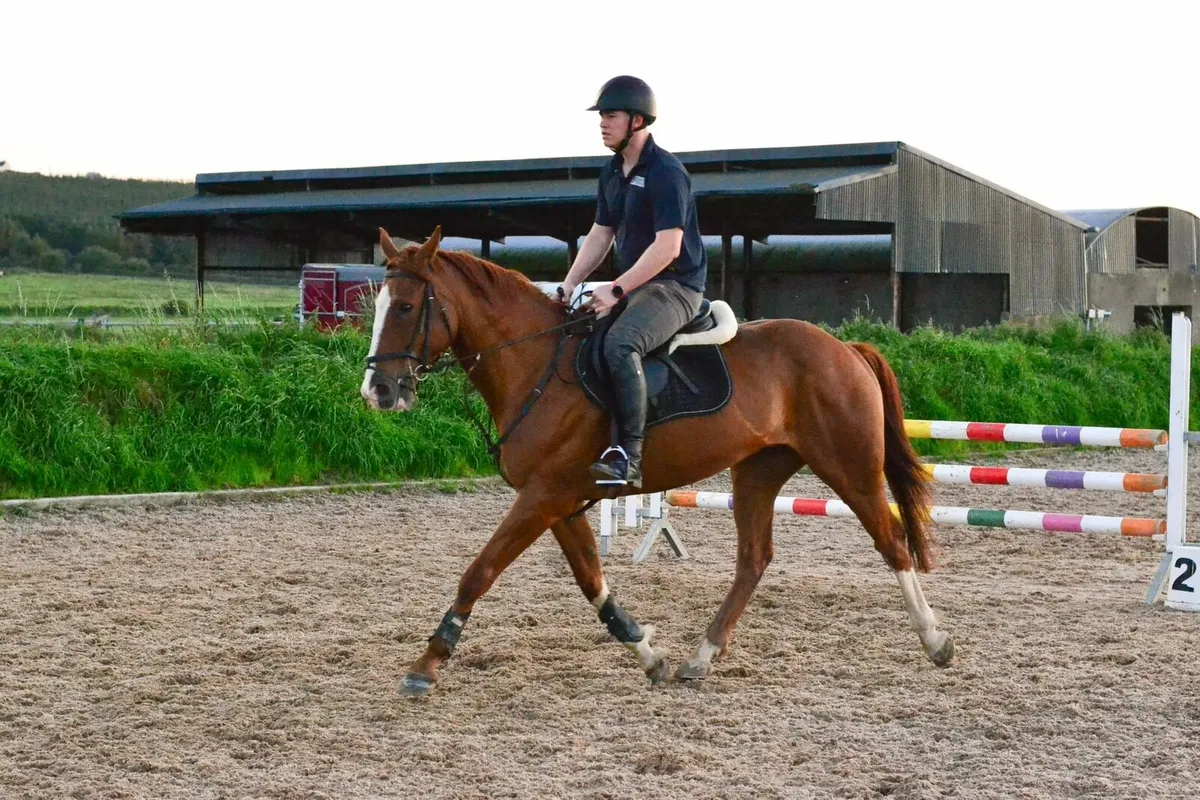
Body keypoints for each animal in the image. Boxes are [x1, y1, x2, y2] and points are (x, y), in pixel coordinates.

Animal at [362, 227, 954, 696]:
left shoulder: (543, 497)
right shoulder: (560, 501)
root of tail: (846, 349)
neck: (535, 363)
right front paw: (648, 653)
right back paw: (701, 656)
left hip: (849, 468)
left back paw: (935, 640)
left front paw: (427, 663)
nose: (378, 391)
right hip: (757, 472)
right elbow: (591, 580)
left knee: (891, 541)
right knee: (754, 558)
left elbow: (479, 572)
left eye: (408, 307)